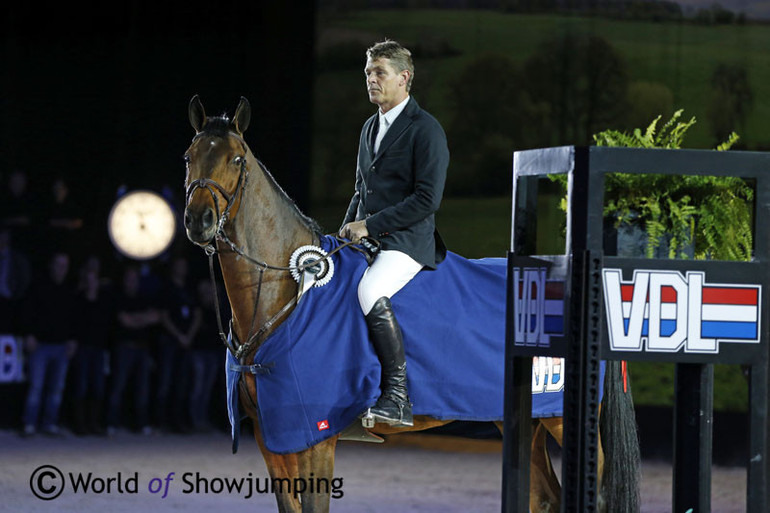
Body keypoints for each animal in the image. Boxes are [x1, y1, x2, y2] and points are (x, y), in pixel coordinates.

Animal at [183, 96, 640, 512]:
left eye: (236, 159)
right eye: (189, 156)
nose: (198, 221)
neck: (290, 292)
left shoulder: (315, 437)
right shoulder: (272, 436)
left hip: (564, 419)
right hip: (520, 420)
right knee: (543, 497)